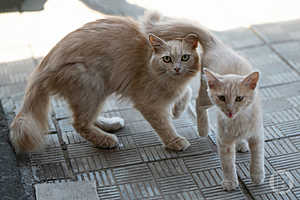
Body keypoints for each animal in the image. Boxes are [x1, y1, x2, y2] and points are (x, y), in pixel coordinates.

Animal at [10, 15, 200, 153]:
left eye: (185, 57)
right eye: (167, 59)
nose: (177, 68)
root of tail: (43, 66)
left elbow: (188, 92)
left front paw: (177, 110)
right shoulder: (148, 104)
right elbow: (164, 125)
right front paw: (174, 141)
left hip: (96, 91)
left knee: (85, 118)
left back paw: (109, 125)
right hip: (91, 85)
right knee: (79, 124)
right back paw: (106, 140)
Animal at [141, 11, 264, 190]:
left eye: (239, 98)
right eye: (222, 97)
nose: (230, 111)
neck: (237, 122)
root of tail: (217, 44)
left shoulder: (257, 135)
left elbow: (258, 158)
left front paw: (257, 176)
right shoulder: (223, 140)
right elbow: (227, 163)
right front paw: (230, 182)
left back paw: (241, 144)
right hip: (206, 96)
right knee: (198, 103)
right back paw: (203, 129)